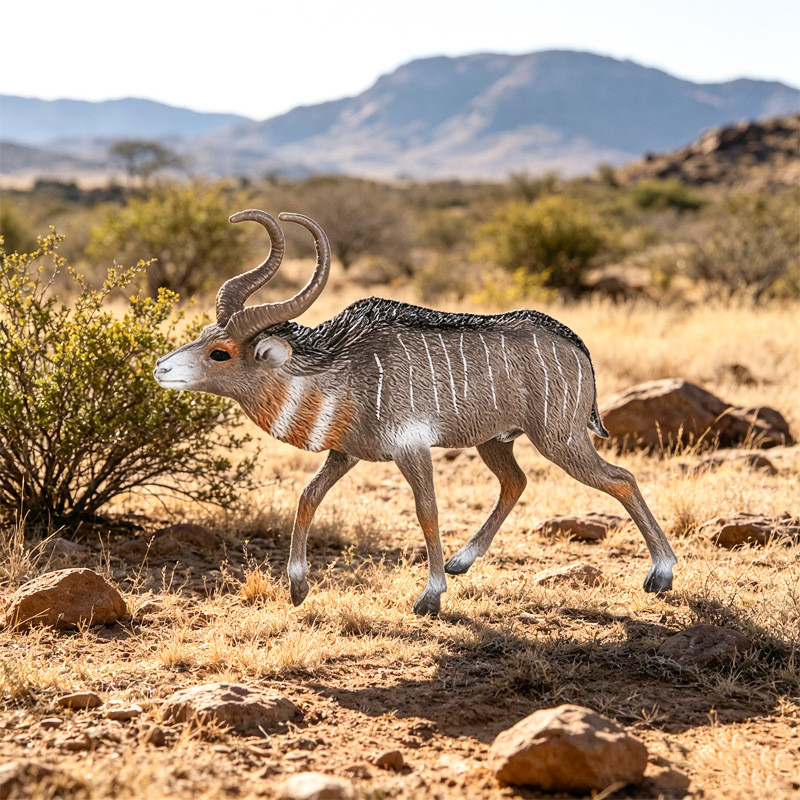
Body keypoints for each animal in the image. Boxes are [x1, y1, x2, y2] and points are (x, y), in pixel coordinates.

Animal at [154, 210, 677, 615]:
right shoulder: (345, 453)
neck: (345, 366)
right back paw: (463, 561)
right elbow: (307, 496)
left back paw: (661, 573)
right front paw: (298, 588)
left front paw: (430, 598)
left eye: (220, 352)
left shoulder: (412, 449)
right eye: (203, 334)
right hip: (496, 441)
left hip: (559, 437)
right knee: (516, 481)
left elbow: (427, 511)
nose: (161, 368)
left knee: (621, 478)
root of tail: (577, 346)